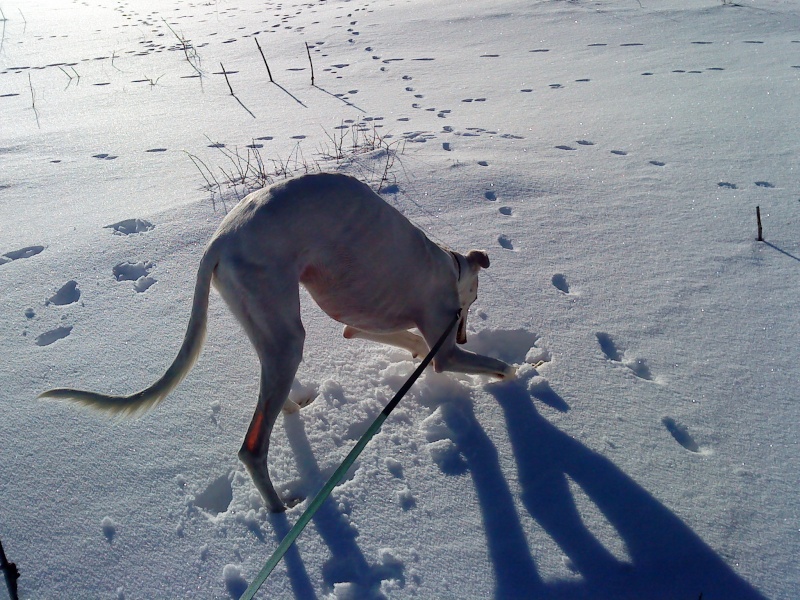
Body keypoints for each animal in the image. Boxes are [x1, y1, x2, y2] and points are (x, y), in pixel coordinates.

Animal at [39, 172, 512, 510]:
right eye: (471, 305)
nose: (464, 332)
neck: (446, 264)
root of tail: (218, 242)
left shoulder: (356, 323)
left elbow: (402, 338)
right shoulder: (443, 345)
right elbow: (484, 363)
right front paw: (519, 371)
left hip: (269, 326)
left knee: (270, 393)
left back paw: (290, 406)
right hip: (285, 332)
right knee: (252, 448)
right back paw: (282, 511)